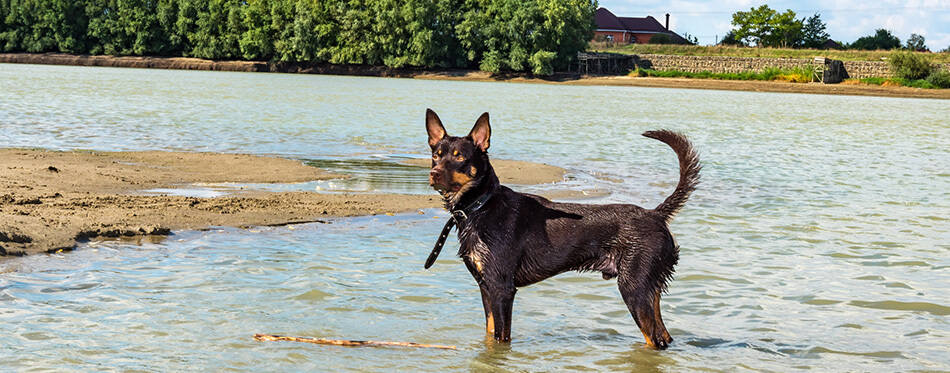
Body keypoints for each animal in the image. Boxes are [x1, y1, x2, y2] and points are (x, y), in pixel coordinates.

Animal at [424, 107, 700, 348]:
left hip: (634, 290)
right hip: (649, 290)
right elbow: (491, 337)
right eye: (436, 155)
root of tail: (656, 215)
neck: (481, 207)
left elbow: (502, 337)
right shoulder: (485, 287)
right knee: (664, 337)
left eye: (460, 157)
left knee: (653, 340)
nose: (433, 173)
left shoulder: (502, 289)